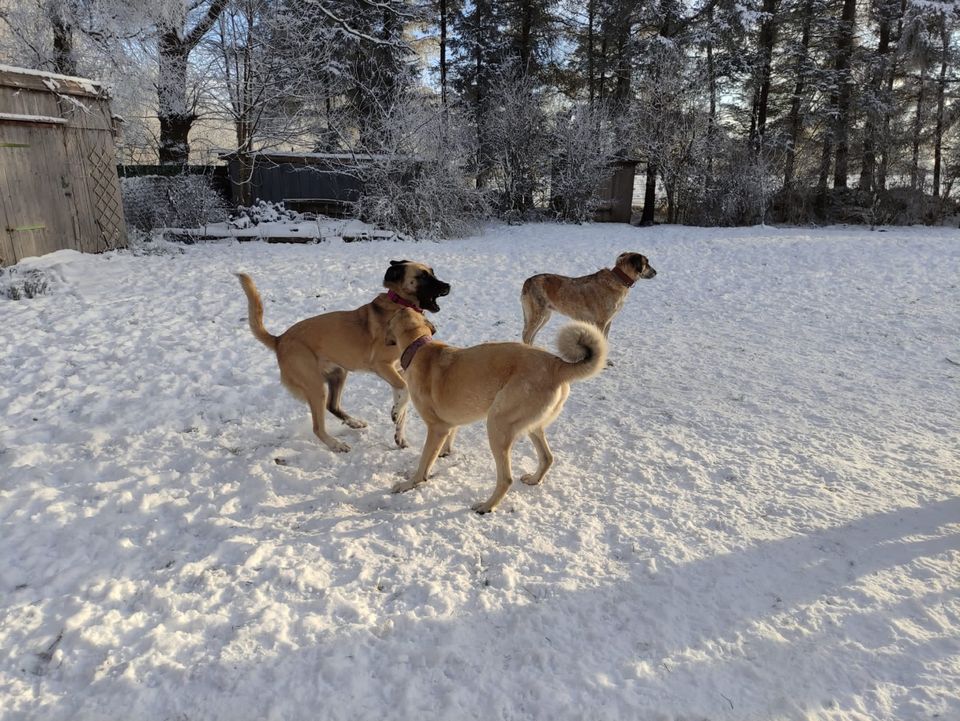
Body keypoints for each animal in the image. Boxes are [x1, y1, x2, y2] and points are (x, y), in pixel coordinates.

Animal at [240, 260, 450, 450]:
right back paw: (336, 444)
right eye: (423, 276)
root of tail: (280, 339)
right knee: (318, 427)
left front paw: (399, 432)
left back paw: (354, 423)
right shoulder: (382, 366)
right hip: (315, 386)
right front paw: (396, 413)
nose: (448, 285)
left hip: (338, 374)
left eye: (432, 272)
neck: (399, 303)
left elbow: (403, 402)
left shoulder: (398, 371)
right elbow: (405, 391)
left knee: (332, 406)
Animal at [384, 306, 604, 516]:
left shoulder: (437, 428)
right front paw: (444, 453)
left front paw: (409, 484)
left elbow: (423, 463)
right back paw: (534, 480)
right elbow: (446, 441)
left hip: (497, 424)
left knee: (506, 479)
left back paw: (487, 506)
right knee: (547, 458)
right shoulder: (449, 424)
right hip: (532, 426)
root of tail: (556, 365)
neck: (418, 346)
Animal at [520, 252, 656, 344]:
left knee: (530, 336)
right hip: (538, 315)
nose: (656, 272)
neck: (619, 279)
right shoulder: (601, 322)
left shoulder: (608, 321)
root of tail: (528, 281)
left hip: (545, 316)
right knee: (526, 336)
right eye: (646, 263)